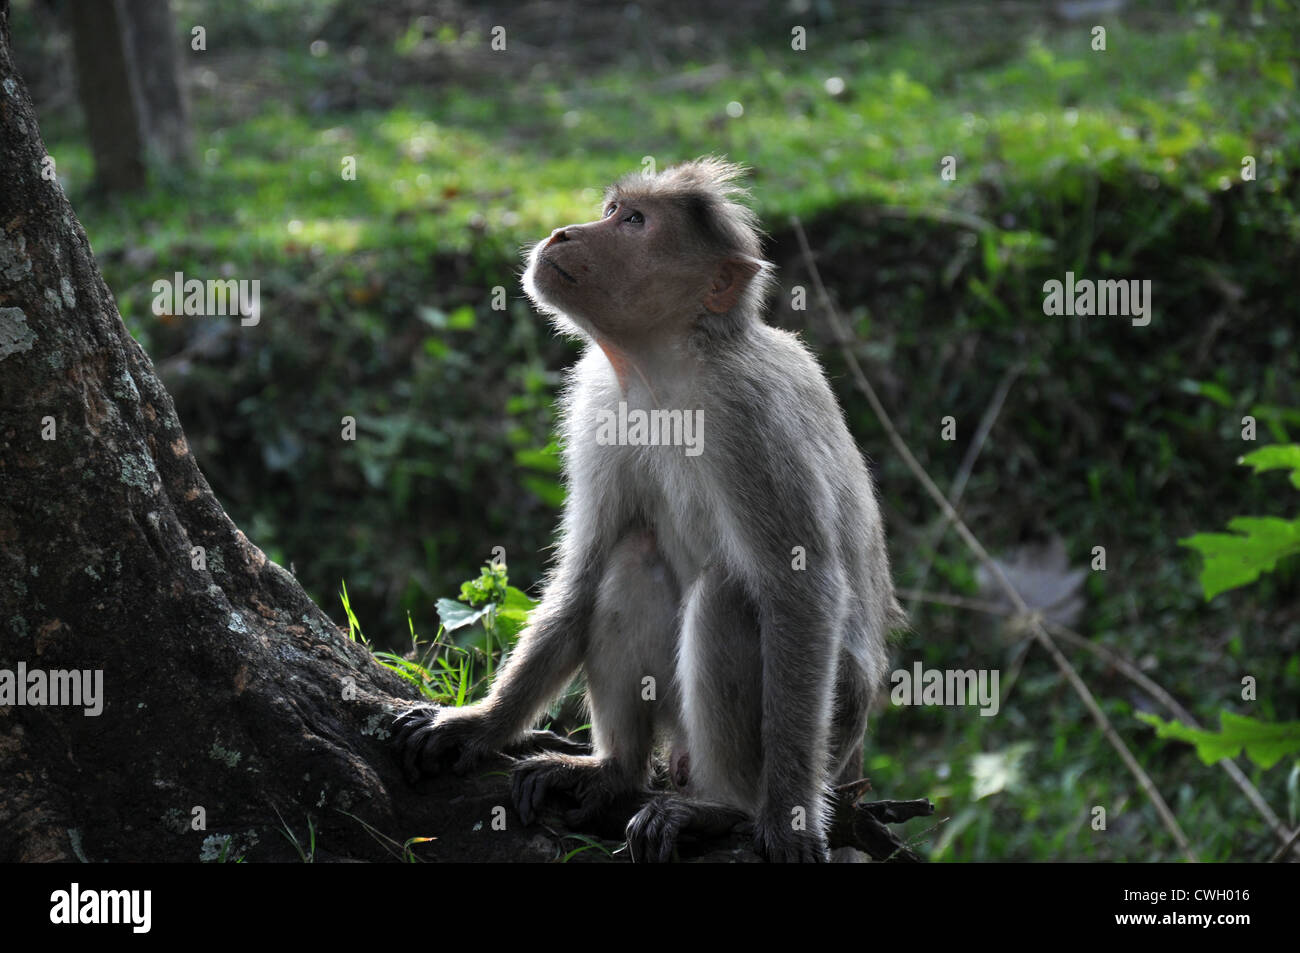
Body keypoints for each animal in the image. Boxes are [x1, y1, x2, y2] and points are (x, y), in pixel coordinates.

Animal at [395, 157, 904, 863]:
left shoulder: (750, 416)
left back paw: (723, 808)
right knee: (630, 558)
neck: (662, 370)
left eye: (634, 222)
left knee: (728, 595)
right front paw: (483, 724)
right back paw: (616, 771)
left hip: (835, 724)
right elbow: (584, 570)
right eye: (611, 210)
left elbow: (800, 589)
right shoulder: (599, 402)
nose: (564, 232)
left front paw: (787, 820)